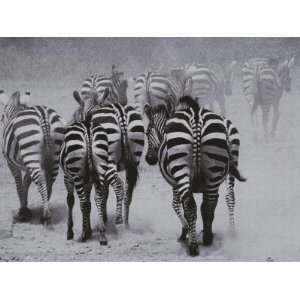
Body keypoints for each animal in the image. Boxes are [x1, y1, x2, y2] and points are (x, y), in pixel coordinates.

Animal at [0, 90, 65, 224]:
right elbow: (26, 182)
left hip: (30, 151)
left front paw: (22, 212)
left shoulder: (11, 164)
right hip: (54, 153)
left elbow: (19, 185)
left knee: (40, 181)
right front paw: (25, 207)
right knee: (49, 181)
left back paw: (46, 215)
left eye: (2, 116)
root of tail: (43, 114)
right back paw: (45, 209)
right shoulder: (29, 165)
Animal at [158, 96, 245, 255]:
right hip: (217, 168)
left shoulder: (175, 184)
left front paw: (185, 232)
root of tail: (196, 117)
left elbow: (176, 205)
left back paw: (195, 245)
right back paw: (219, 235)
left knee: (191, 204)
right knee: (215, 202)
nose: (149, 158)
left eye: (148, 131)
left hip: (181, 166)